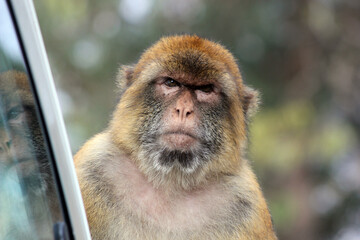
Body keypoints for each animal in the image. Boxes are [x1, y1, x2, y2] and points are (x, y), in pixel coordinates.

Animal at [74, 35, 278, 240]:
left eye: (206, 89)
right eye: (171, 83)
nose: (184, 110)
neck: (171, 180)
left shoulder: (247, 203)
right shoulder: (92, 166)